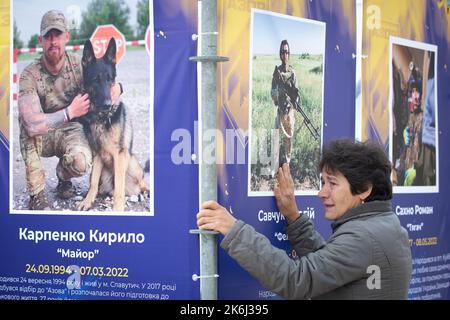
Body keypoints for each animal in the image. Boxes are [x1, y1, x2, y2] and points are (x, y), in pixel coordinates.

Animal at [76, 38, 149, 212]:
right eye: (96, 80)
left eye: (109, 79)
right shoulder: (97, 156)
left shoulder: (120, 155)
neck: (101, 118)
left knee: (142, 183)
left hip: (132, 164)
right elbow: (93, 183)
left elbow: (119, 188)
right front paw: (87, 201)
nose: (108, 104)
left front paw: (118, 208)